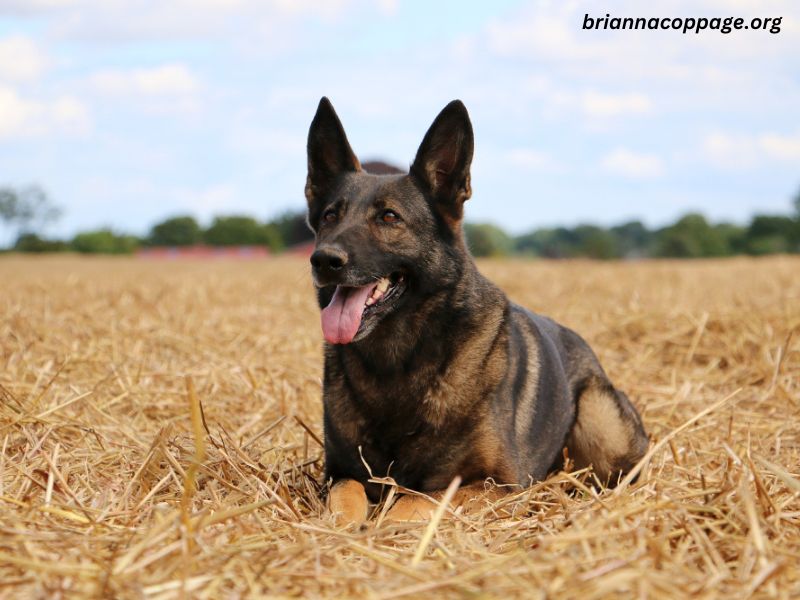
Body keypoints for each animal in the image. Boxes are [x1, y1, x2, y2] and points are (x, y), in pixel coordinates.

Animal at [304, 96, 648, 524]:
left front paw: (386, 526)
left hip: (601, 425)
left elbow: (417, 501)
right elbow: (345, 499)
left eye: (389, 217)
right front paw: (345, 528)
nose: (323, 260)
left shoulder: (498, 484)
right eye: (330, 216)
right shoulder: (340, 473)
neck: (397, 363)